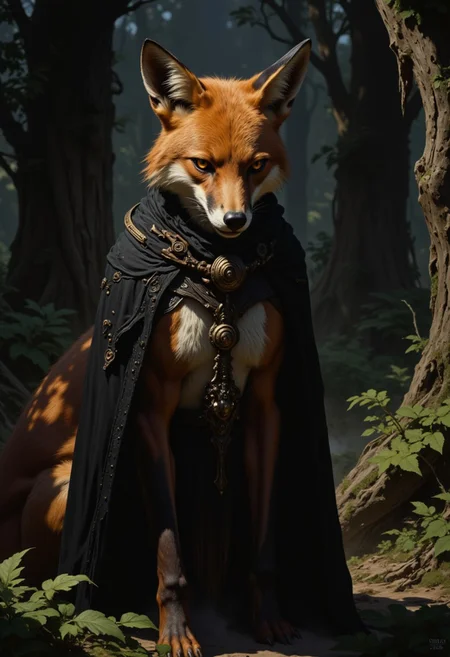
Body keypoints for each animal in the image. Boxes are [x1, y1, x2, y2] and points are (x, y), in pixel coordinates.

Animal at [0, 39, 313, 652]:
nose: (235, 220)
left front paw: (268, 618)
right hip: (66, 485)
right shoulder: (150, 405)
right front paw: (176, 632)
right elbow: (169, 552)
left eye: (256, 165)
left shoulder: (266, 404)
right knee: (43, 583)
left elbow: (263, 545)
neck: (221, 271)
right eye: (203, 165)